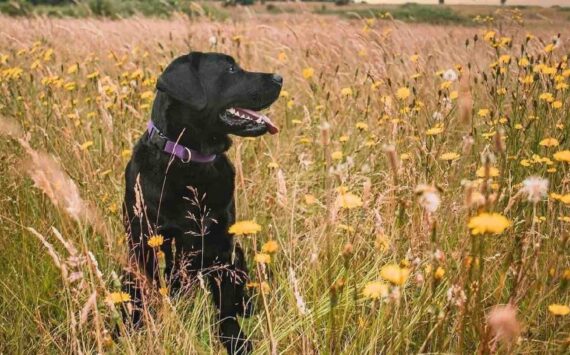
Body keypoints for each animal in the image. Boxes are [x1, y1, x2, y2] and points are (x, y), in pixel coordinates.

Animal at [121, 51, 280, 354]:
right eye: (230, 69)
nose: (279, 77)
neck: (190, 161)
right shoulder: (145, 242)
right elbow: (143, 293)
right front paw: (134, 330)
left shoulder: (222, 245)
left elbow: (225, 307)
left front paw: (235, 340)